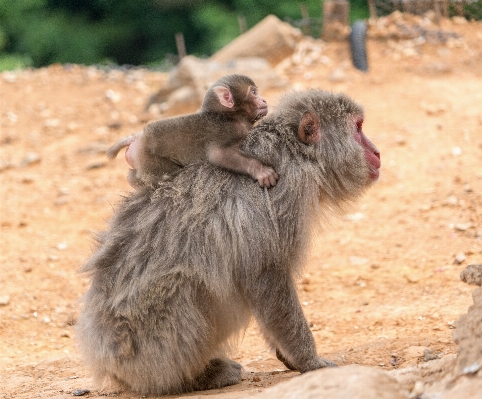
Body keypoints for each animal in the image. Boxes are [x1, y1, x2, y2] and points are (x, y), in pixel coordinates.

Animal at [107, 75, 276, 191]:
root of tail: (138, 139)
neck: (230, 116)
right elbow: (218, 155)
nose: (264, 100)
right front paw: (260, 170)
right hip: (148, 158)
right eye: (253, 92)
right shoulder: (228, 130)